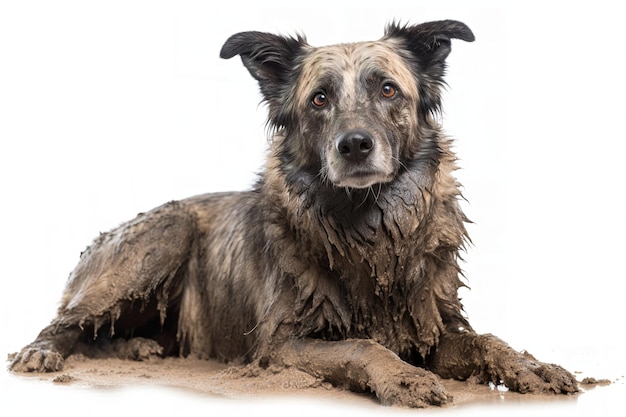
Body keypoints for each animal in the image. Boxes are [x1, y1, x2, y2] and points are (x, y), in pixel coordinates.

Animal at [9, 20, 576, 406]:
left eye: (387, 89)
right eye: (319, 99)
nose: (355, 145)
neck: (367, 231)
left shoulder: (433, 326)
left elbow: (489, 341)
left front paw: (532, 366)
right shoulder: (282, 345)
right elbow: (362, 347)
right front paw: (404, 376)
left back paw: (140, 350)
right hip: (163, 235)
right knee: (67, 321)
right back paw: (43, 351)